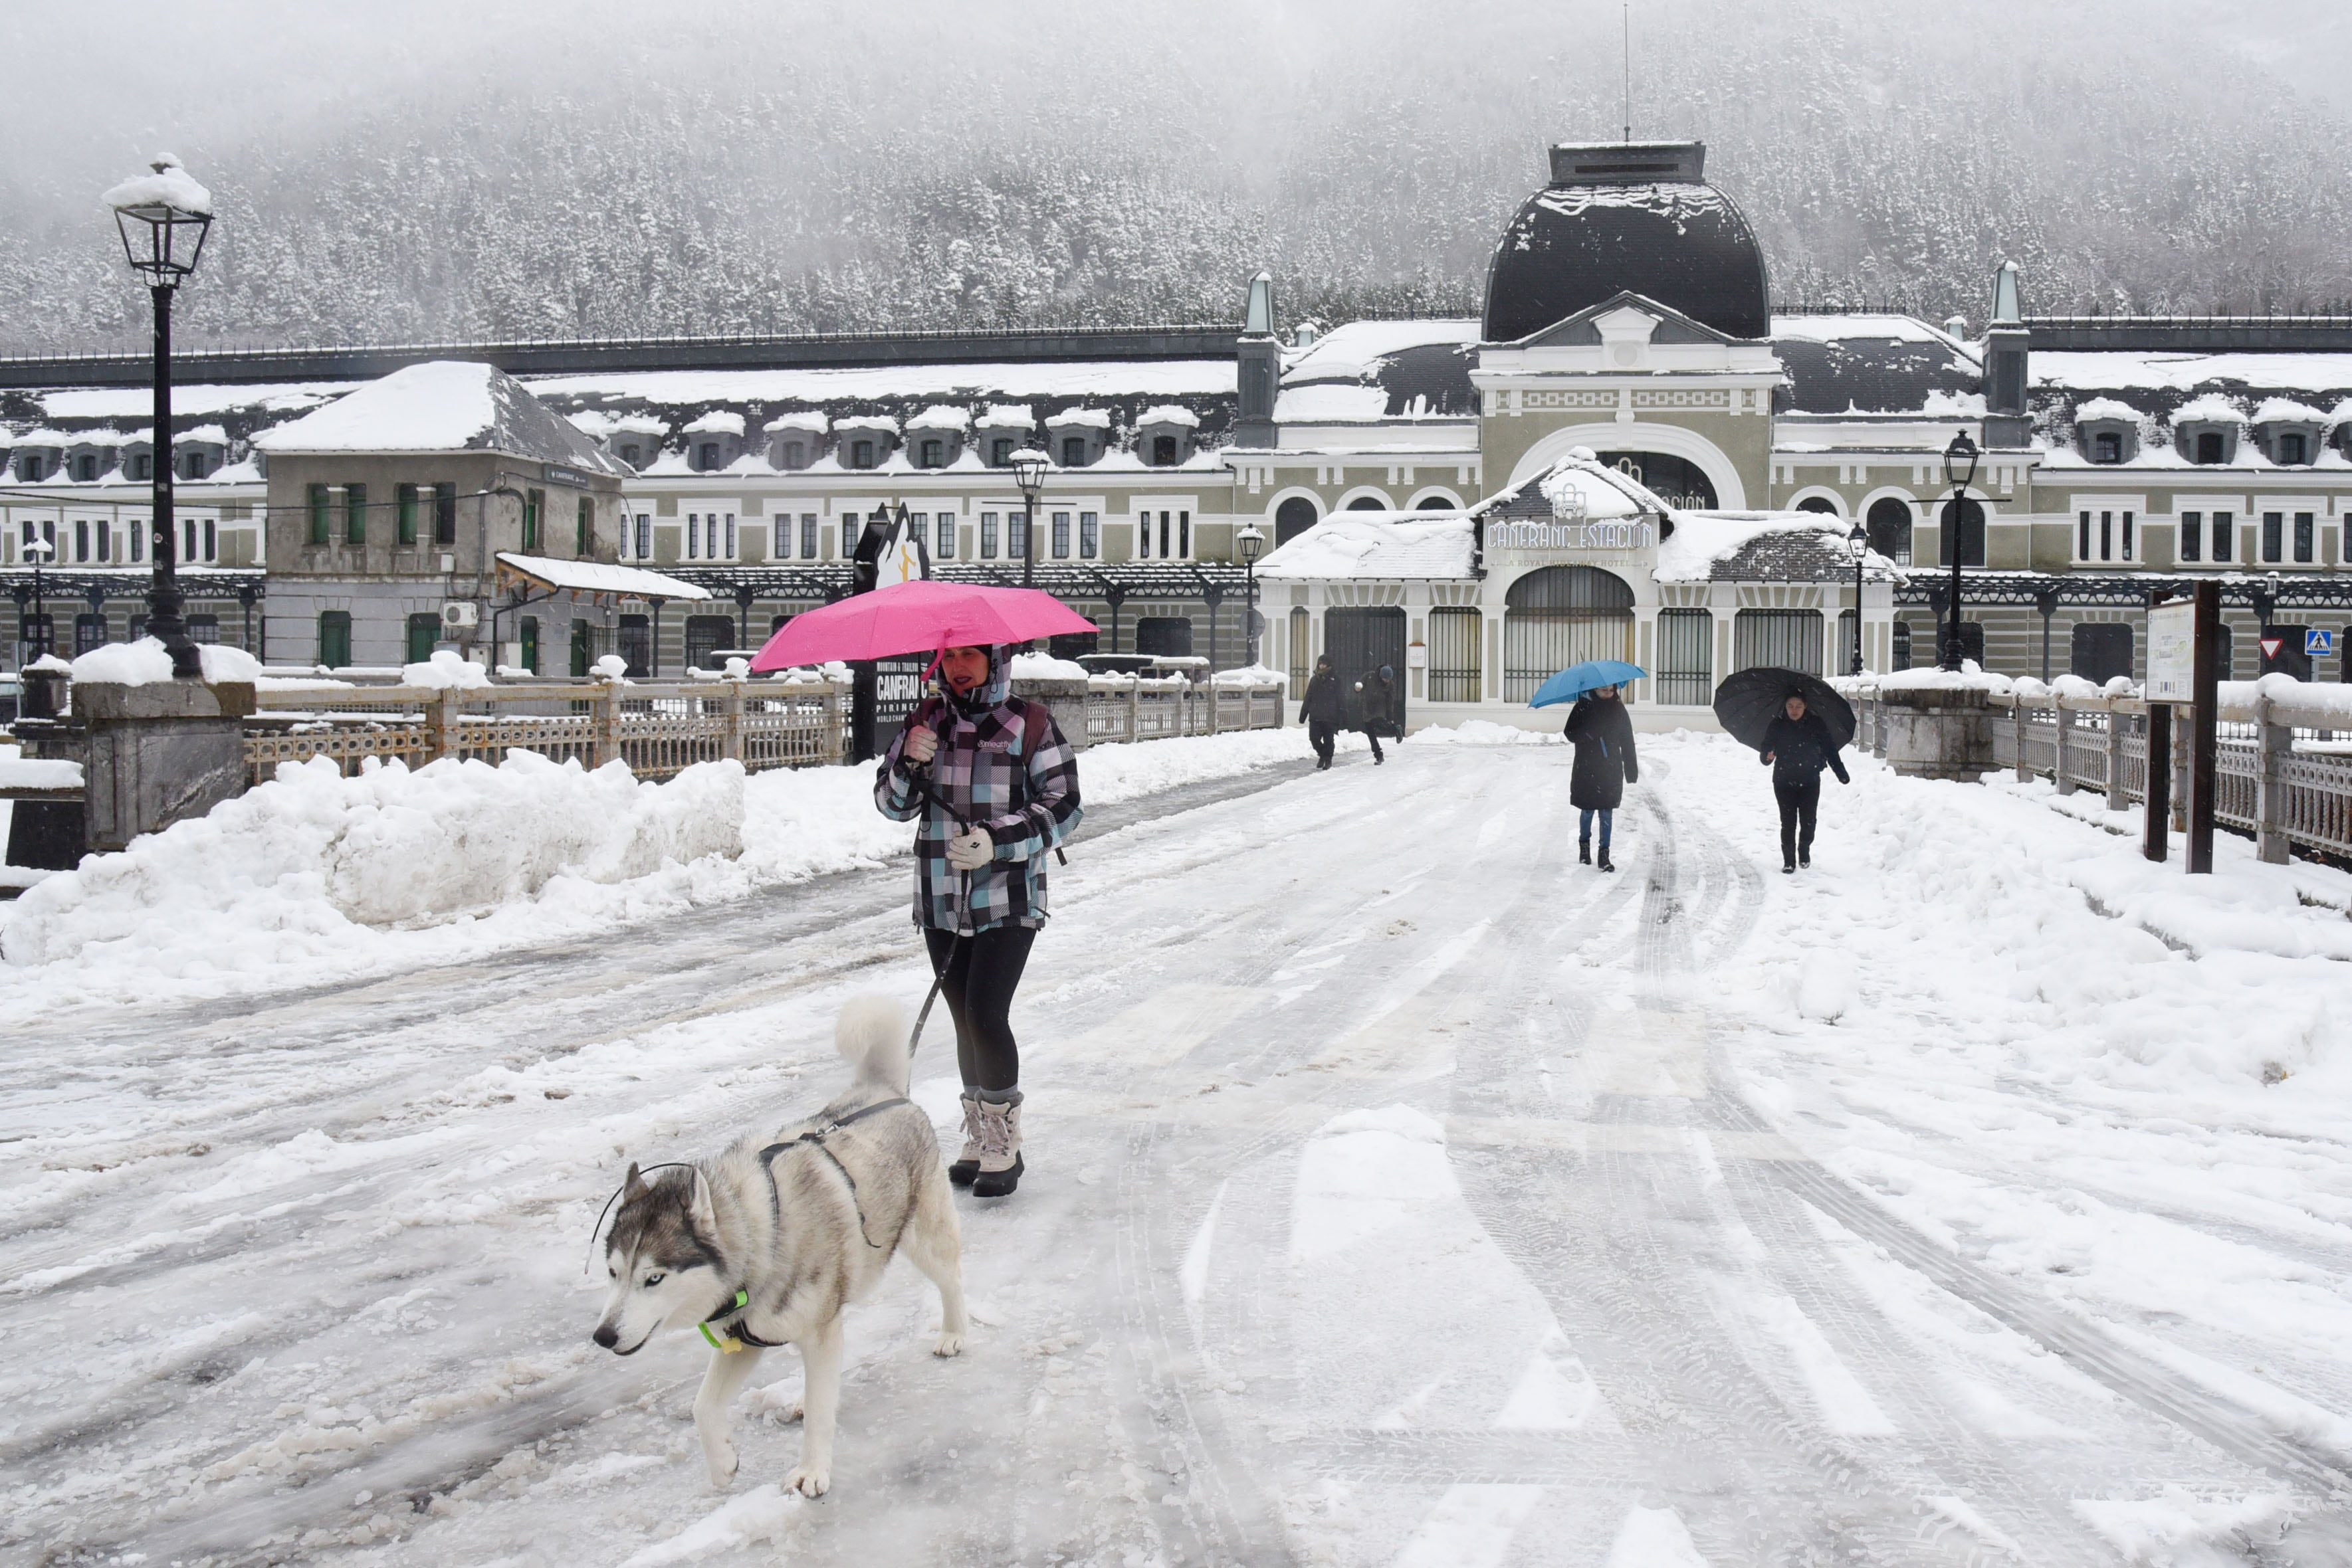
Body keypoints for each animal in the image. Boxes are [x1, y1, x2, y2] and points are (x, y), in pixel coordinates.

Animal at [592, 1001, 969, 1504]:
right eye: (613, 1273)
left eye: (654, 1278)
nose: (603, 1336)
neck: (763, 1236)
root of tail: (884, 1091)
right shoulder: (743, 1337)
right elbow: (702, 1406)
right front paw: (723, 1463)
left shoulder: (816, 1329)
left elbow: (820, 1409)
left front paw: (811, 1472)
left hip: (925, 1236)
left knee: (951, 1279)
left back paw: (954, 1333)